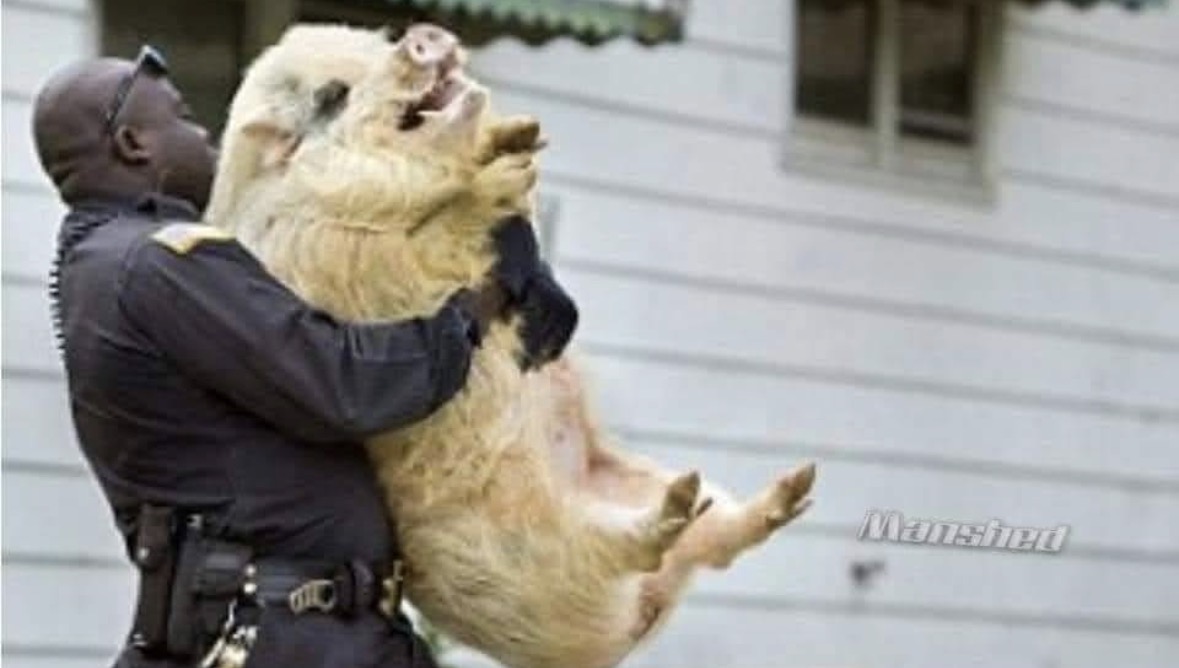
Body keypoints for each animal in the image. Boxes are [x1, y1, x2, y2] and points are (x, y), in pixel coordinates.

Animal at [205, 23, 816, 668]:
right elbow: (431, 235)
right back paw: (680, 509)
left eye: (378, 46)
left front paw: (522, 136)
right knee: (630, 547)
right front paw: (497, 174)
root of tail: (635, 622)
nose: (424, 33)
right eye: (334, 96)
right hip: (545, 543)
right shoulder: (348, 263)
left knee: (717, 535)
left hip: (634, 483)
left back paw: (787, 488)